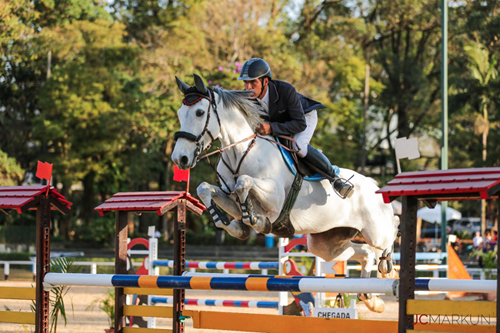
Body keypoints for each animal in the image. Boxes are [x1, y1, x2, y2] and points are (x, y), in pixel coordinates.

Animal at [171, 74, 398, 312]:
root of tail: (373, 183)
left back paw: (388, 268)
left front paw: (254, 220)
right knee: (364, 253)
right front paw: (234, 225)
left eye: (199, 112)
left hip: (375, 231)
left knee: (392, 230)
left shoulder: (275, 198)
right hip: (326, 244)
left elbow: (244, 183)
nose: (180, 159)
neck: (240, 153)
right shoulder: (227, 194)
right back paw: (371, 299)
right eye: (179, 113)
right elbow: (205, 189)